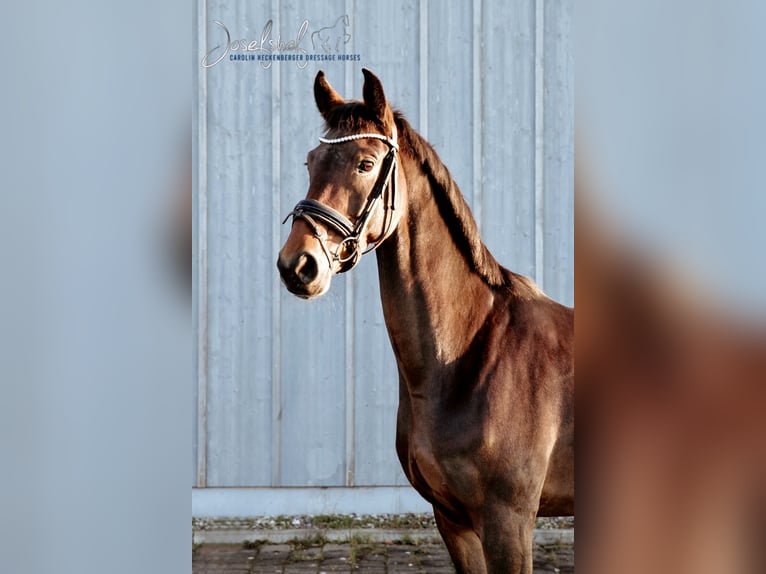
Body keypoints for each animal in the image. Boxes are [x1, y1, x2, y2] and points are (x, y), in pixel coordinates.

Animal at [277, 69, 574, 573]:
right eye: (311, 161)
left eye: (366, 163)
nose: (298, 265)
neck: (469, 356)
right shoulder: (452, 521)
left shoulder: (509, 523)